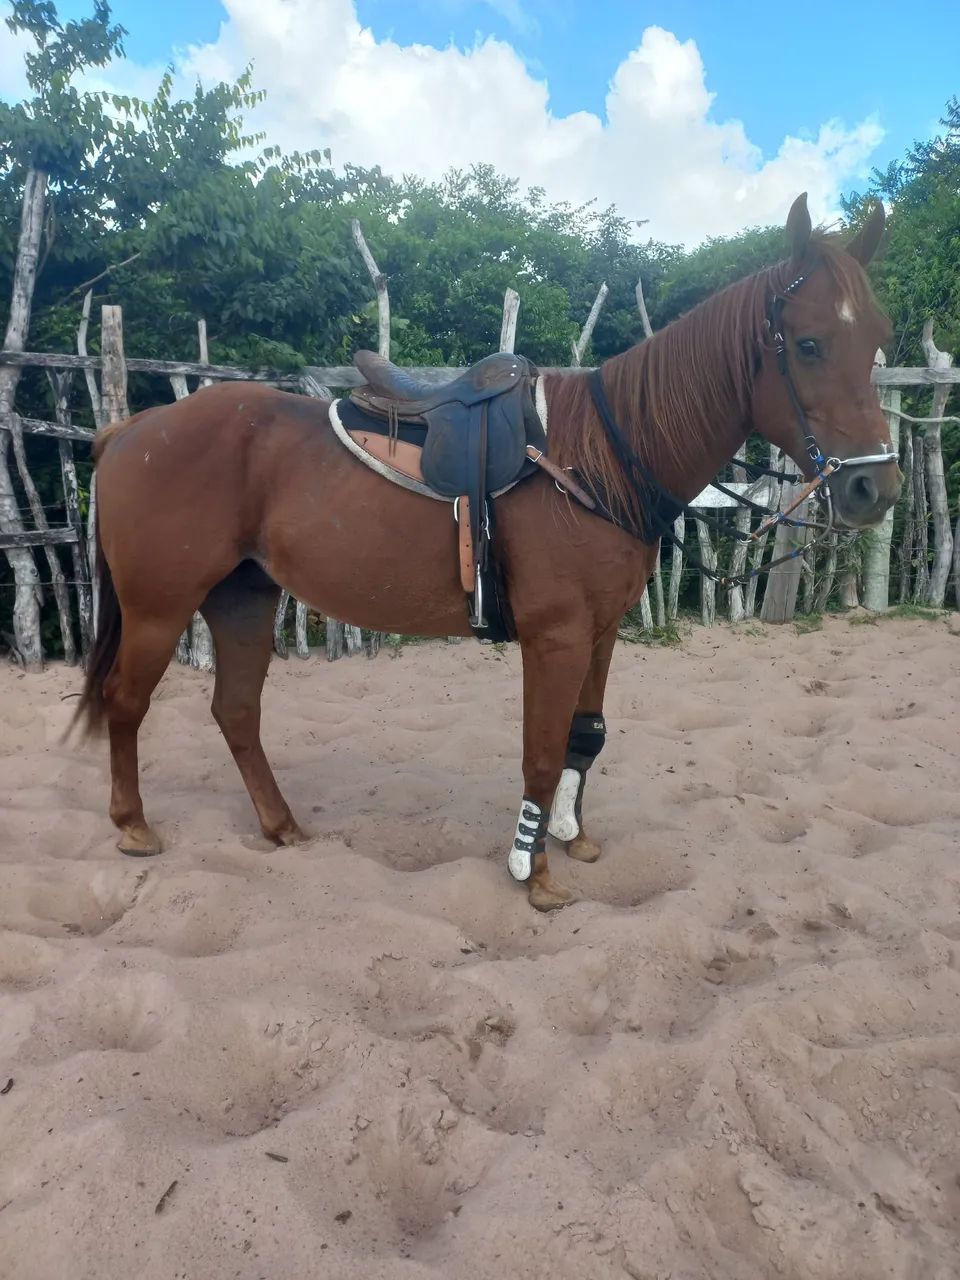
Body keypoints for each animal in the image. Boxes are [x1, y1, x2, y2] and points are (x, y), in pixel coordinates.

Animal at [73, 193, 901, 911]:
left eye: (877, 341)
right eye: (808, 344)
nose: (875, 488)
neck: (599, 456)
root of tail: (132, 429)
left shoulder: (601, 631)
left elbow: (585, 736)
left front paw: (573, 837)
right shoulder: (555, 636)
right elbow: (541, 750)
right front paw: (533, 872)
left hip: (243, 597)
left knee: (236, 711)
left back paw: (280, 827)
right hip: (160, 607)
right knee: (127, 700)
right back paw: (132, 827)